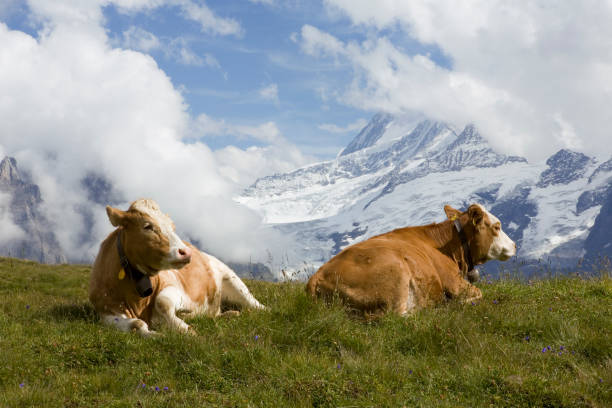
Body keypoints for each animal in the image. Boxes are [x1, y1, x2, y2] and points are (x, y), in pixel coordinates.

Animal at [88, 198, 266, 334]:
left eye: (172, 227)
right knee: (216, 314)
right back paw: (229, 314)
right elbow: (137, 324)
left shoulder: (177, 289)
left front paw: (184, 328)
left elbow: (162, 303)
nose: (186, 252)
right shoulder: (105, 311)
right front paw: (154, 334)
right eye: (147, 226)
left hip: (232, 279)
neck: (137, 299)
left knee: (253, 303)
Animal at [306, 204, 516, 316]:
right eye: (497, 226)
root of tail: (316, 277)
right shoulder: (454, 282)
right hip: (397, 274)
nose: (514, 245)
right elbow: (479, 294)